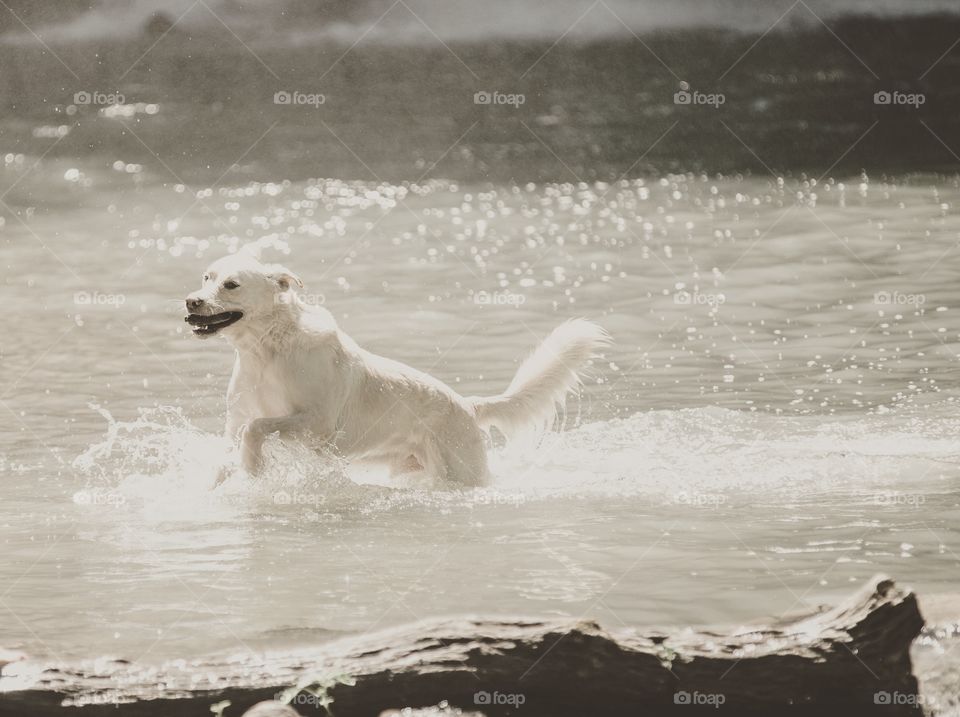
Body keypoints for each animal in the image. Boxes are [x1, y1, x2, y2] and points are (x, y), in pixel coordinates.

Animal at [187, 253, 608, 486]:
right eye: (206, 277)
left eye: (231, 284)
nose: (191, 301)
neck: (265, 351)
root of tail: (469, 405)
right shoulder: (237, 421)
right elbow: (234, 444)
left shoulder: (317, 425)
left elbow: (257, 429)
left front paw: (252, 467)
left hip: (460, 472)